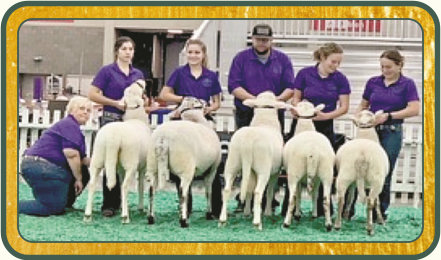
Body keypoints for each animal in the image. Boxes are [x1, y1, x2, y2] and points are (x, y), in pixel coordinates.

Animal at [83, 80, 150, 224]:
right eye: (139, 88)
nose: (140, 81)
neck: (136, 117)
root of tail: (112, 138)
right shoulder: (142, 167)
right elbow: (141, 186)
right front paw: (141, 208)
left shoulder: (120, 167)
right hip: (130, 162)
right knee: (125, 187)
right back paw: (125, 217)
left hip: (97, 158)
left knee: (92, 184)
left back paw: (88, 215)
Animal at [146, 97, 222, 228]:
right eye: (198, 102)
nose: (205, 102)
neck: (197, 120)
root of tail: (163, 138)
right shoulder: (212, 169)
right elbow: (208, 191)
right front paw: (209, 214)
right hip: (185, 169)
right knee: (182, 193)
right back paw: (183, 221)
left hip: (153, 166)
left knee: (151, 191)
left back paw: (151, 218)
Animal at [217, 91, 286, 230]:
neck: (265, 121)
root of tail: (248, 141)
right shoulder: (275, 172)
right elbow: (269, 191)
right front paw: (267, 213)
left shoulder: (251, 171)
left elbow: (248, 190)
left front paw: (247, 212)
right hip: (263, 169)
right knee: (259, 192)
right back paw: (257, 223)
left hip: (232, 163)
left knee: (227, 190)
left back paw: (222, 220)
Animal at [282, 100, 334, 231]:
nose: (304, 100)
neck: (305, 127)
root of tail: (312, 150)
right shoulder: (317, 179)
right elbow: (315, 194)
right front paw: (314, 214)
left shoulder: (299, 178)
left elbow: (299, 195)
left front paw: (297, 215)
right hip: (326, 173)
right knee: (325, 199)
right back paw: (328, 224)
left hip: (294, 173)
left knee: (292, 198)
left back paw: (286, 223)